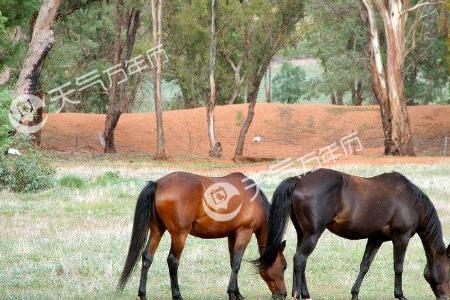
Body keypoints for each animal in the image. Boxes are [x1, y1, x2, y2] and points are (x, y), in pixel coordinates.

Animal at [118, 172, 286, 300]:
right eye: (284, 266)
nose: (283, 294)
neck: (254, 199)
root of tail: (158, 183)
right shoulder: (244, 232)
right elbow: (237, 263)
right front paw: (232, 293)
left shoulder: (232, 235)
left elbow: (232, 262)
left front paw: (237, 293)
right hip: (179, 235)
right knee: (173, 261)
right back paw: (177, 295)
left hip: (157, 230)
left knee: (147, 258)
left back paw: (143, 294)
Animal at [255, 169, 448, 300]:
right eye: (449, 270)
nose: (445, 296)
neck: (411, 202)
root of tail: (299, 180)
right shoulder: (402, 237)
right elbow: (398, 267)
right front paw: (400, 295)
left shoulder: (375, 238)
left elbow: (365, 266)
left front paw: (355, 293)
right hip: (312, 234)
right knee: (300, 259)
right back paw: (299, 294)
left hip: (303, 233)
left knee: (301, 259)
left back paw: (305, 293)